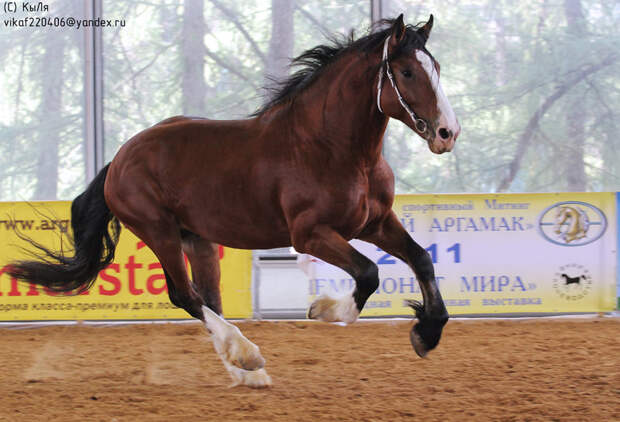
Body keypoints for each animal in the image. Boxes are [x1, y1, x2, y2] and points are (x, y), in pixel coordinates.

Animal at [6, 14, 460, 388]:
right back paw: (248, 355)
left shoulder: (376, 222)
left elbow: (421, 259)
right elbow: (368, 272)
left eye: (436, 68)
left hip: (197, 239)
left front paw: (427, 333)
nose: (447, 133)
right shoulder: (310, 234)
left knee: (208, 301)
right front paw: (325, 311)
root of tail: (119, 158)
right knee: (185, 296)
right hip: (159, 231)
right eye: (406, 71)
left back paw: (246, 371)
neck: (330, 148)